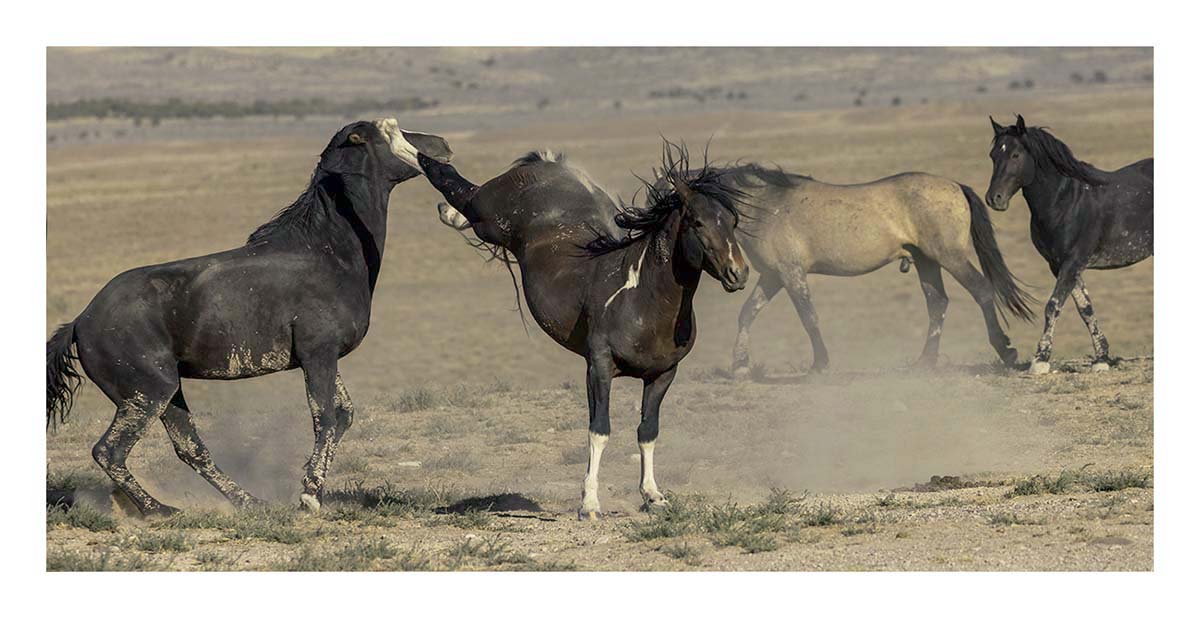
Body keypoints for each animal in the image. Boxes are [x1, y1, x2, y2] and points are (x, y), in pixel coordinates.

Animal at [46, 119, 452, 516]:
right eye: (389, 132)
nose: (443, 145)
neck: (330, 252)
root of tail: (80, 322)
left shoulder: (324, 356)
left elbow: (343, 414)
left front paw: (307, 484)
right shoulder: (318, 354)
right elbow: (325, 417)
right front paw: (309, 497)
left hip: (168, 392)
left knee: (191, 449)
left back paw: (250, 503)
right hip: (147, 393)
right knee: (109, 451)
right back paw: (159, 510)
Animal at [419, 142, 750, 519]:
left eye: (733, 221)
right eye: (697, 221)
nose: (738, 273)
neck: (643, 297)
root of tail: (547, 167)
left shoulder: (663, 374)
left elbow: (647, 431)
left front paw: (653, 496)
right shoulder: (600, 366)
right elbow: (600, 430)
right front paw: (590, 505)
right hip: (489, 210)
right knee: (457, 186)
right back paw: (399, 141)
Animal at [702, 163, 1034, 377]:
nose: (733, 274)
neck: (768, 205)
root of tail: (956, 186)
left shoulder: (791, 273)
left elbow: (809, 317)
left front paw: (821, 364)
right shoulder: (772, 276)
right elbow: (748, 312)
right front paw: (740, 365)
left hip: (950, 257)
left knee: (981, 290)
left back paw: (1006, 350)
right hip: (927, 262)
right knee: (937, 304)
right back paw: (925, 363)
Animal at [986, 115, 1153, 374]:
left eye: (1015, 155)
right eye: (993, 155)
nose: (995, 199)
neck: (1065, 202)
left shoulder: (1073, 262)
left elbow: (1053, 306)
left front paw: (1040, 360)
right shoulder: (1059, 265)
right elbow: (1085, 308)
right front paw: (1101, 359)